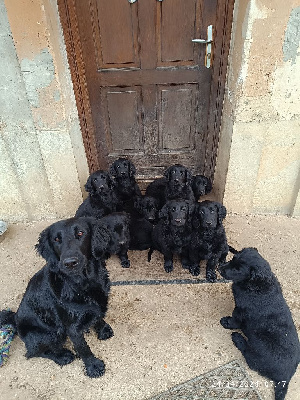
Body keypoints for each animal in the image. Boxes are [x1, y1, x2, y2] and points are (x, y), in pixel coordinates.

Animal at [0, 219, 113, 378]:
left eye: (80, 233)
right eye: (56, 239)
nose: (70, 263)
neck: (82, 284)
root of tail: (14, 319)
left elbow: (98, 316)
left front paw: (103, 329)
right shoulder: (72, 328)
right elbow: (83, 348)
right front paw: (93, 366)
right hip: (51, 334)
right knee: (34, 352)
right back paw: (62, 356)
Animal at [218, 247, 300, 400]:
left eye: (238, 269)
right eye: (233, 258)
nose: (219, 268)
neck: (257, 285)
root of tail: (286, 378)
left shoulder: (241, 309)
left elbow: (235, 319)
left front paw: (227, 322)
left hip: (259, 346)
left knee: (249, 355)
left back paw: (238, 338)